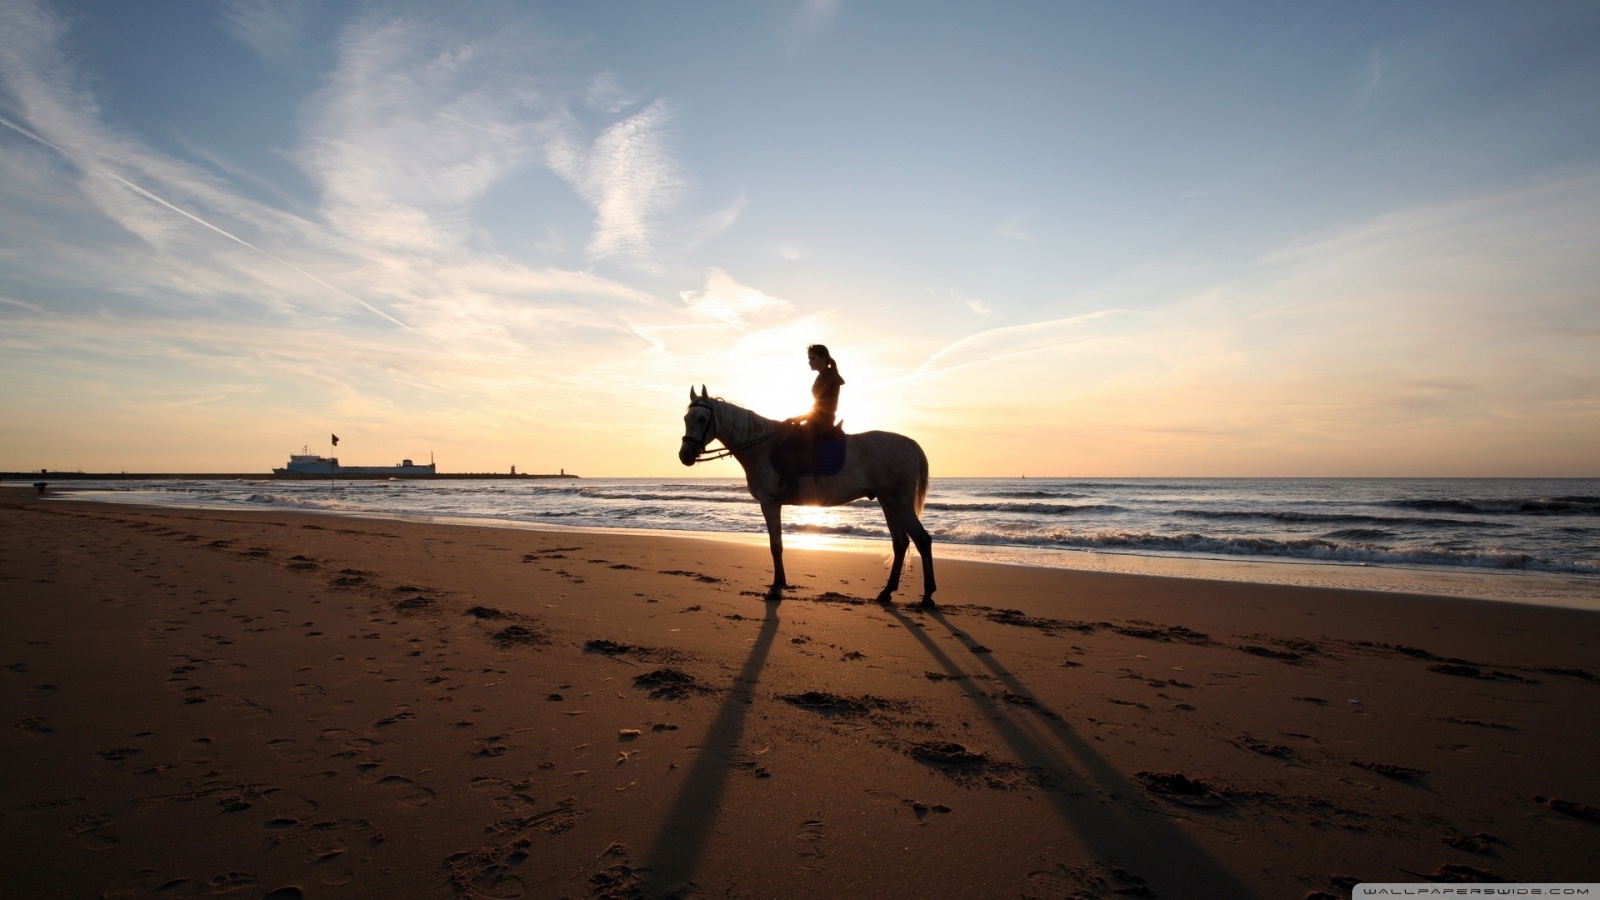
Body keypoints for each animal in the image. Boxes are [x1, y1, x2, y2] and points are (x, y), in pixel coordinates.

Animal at [678, 386, 936, 607]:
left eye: (702, 419)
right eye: (686, 419)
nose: (685, 456)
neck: (760, 446)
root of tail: (909, 443)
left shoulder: (769, 503)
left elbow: (776, 545)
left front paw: (776, 588)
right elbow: (777, 544)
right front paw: (780, 583)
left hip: (899, 502)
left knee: (922, 540)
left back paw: (927, 596)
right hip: (888, 502)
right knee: (900, 543)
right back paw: (887, 592)